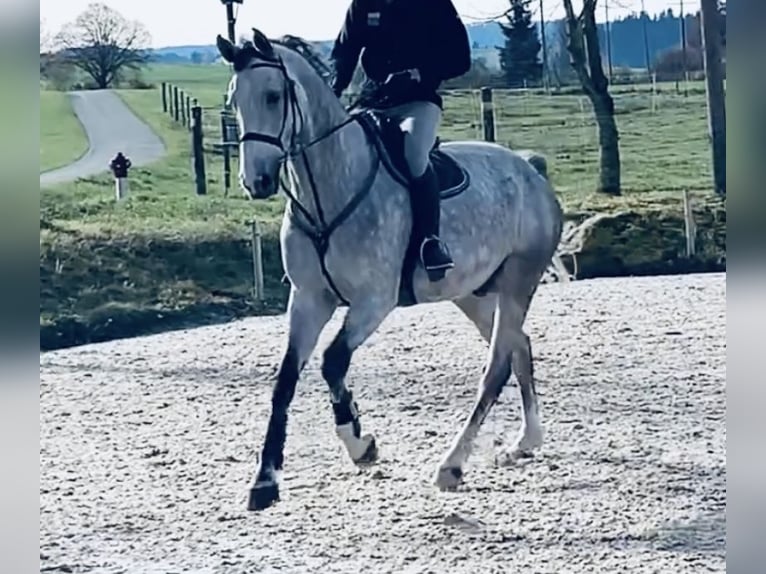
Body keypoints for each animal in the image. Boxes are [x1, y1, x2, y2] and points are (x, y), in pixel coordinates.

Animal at [215, 29, 564, 511]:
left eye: (272, 95)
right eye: (233, 100)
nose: (257, 182)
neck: (328, 192)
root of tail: (530, 170)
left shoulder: (373, 301)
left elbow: (333, 362)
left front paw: (360, 444)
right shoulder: (307, 300)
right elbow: (285, 381)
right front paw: (265, 481)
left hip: (517, 283)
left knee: (496, 367)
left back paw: (452, 465)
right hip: (472, 294)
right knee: (520, 349)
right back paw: (526, 442)